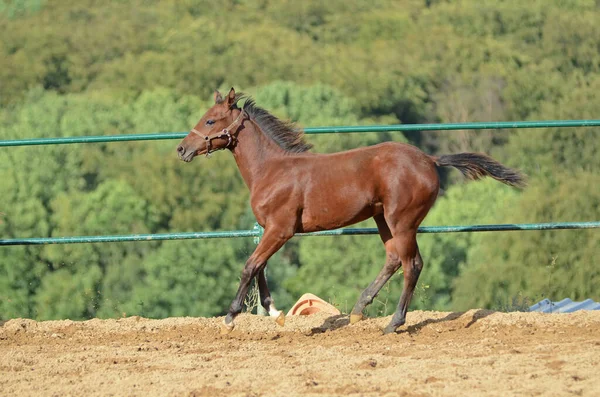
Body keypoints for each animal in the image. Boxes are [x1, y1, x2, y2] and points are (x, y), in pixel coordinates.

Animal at [176, 87, 524, 334]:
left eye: (210, 120)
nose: (182, 149)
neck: (271, 169)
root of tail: (429, 160)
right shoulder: (271, 230)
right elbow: (259, 266)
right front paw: (275, 313)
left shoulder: (281, 230)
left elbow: (250, 266)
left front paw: (230, 318)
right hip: (382, 218)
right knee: (394, 259)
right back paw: (358, 310)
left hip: (402, 221)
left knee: (412, 264)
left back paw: (393, 323)